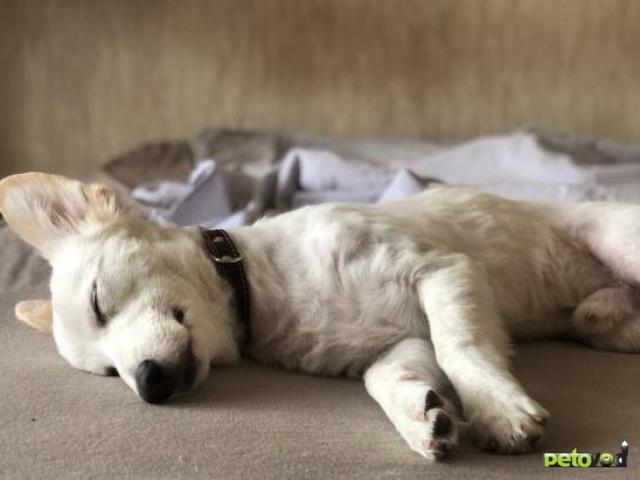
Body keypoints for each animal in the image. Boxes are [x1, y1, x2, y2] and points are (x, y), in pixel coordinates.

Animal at [1, 172, 638, 461]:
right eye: (109, 375)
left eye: (99, 301)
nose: (150, 384)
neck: (261, 290)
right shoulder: (397, 344)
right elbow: (389, 378)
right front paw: (421, 416)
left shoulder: (442, 271)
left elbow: (461, 347)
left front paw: (496, 410)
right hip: (597, 318)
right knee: (603, 317)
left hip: (620, 241)